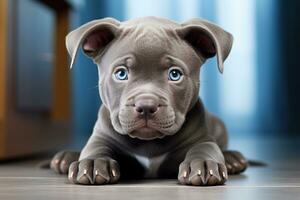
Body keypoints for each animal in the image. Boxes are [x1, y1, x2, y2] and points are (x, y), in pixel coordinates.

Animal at [50, 16, 247, 186]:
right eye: (121, 73)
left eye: (174, 74)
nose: (145, 106)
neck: (149, 142)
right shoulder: (102, 136)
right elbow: (95, 147)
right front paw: (93, 163)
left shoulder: (201, 138)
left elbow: (205, 148)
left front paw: (203, 164)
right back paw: (66, 157)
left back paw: (232, 158)